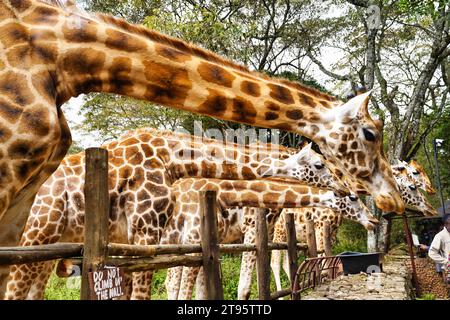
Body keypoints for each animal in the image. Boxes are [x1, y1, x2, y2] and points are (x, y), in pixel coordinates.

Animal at [159, 178, 376, 300]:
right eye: (353, 197)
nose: (373, 220)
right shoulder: (253, 229)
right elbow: (245, 288)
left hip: (179, 241)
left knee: (172, 282)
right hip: (191, 238)